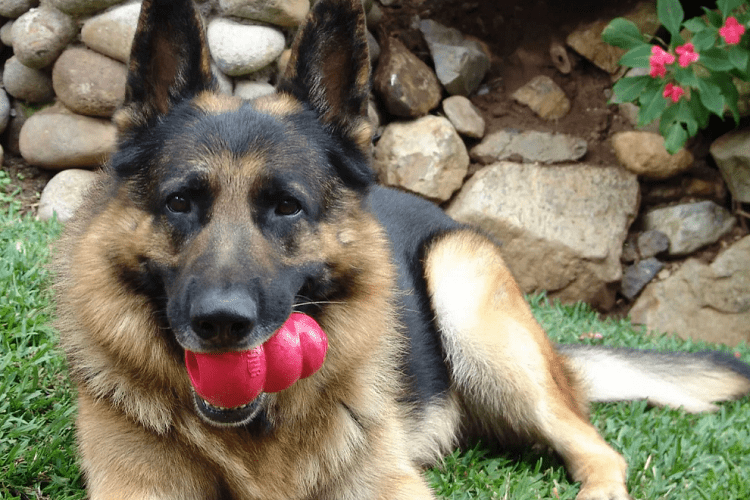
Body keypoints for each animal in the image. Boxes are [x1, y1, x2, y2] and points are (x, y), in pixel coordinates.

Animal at [55, 0, 750, 498]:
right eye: (179, 202)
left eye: (287, 206)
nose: (222, 324)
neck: (256, 439)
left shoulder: (391, 484)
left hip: (464, 287)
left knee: (599, 448)